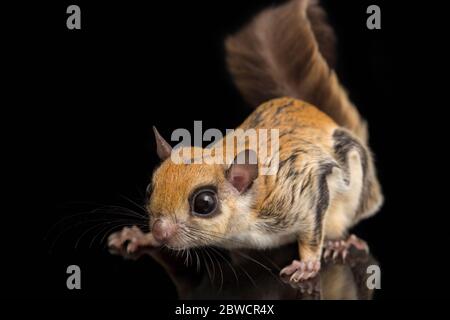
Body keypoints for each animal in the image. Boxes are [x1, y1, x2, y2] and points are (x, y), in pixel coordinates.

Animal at [109, 0, 384, 282]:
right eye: (149, 189)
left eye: (204, 204)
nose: (159, 231)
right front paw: (141, 236)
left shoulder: (302, 189)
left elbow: (312, 230)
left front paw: (307, 264)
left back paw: (341, 242)